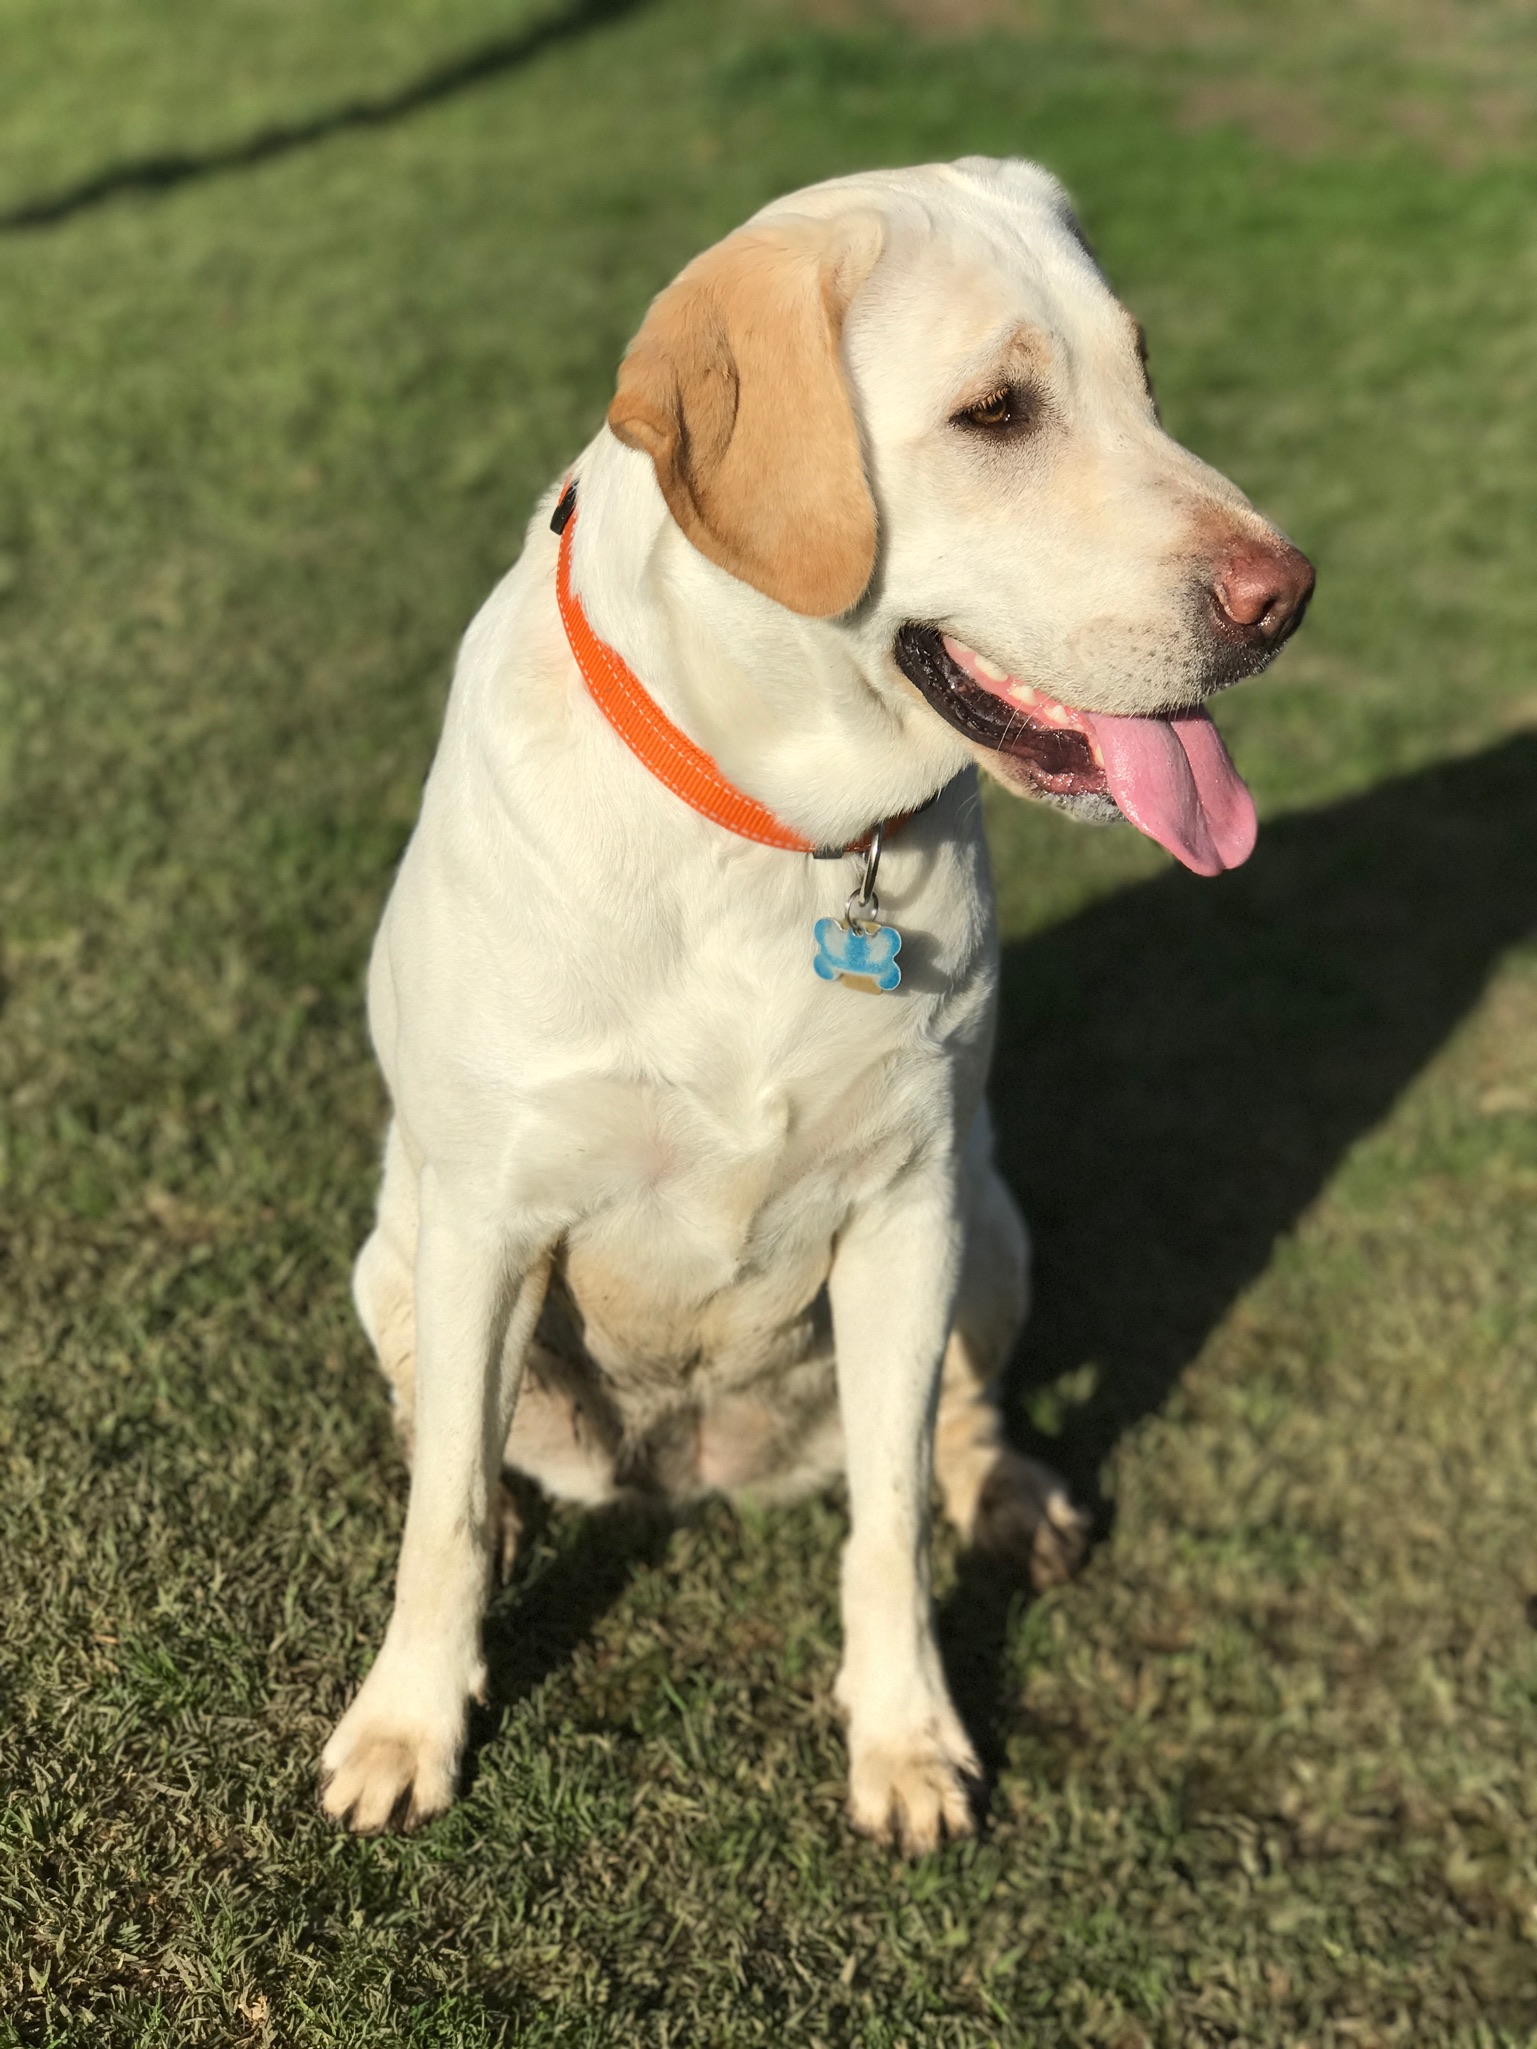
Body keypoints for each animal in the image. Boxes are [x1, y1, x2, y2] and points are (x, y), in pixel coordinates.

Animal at [321, 155, 1311, 1860]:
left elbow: (893, 1511)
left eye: (1143, 374)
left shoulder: (907, 1205)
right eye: (996, 412)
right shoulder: (489, 1212)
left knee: (959, 1419)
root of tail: (697, 1468)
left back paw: (1014, 1496)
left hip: (991, 1223)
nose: (1287, 598)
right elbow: (440, 1510)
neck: (774, 829)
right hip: (393, 1258)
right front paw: (405, 1724)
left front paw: (908, 1737)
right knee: (456, 1441)